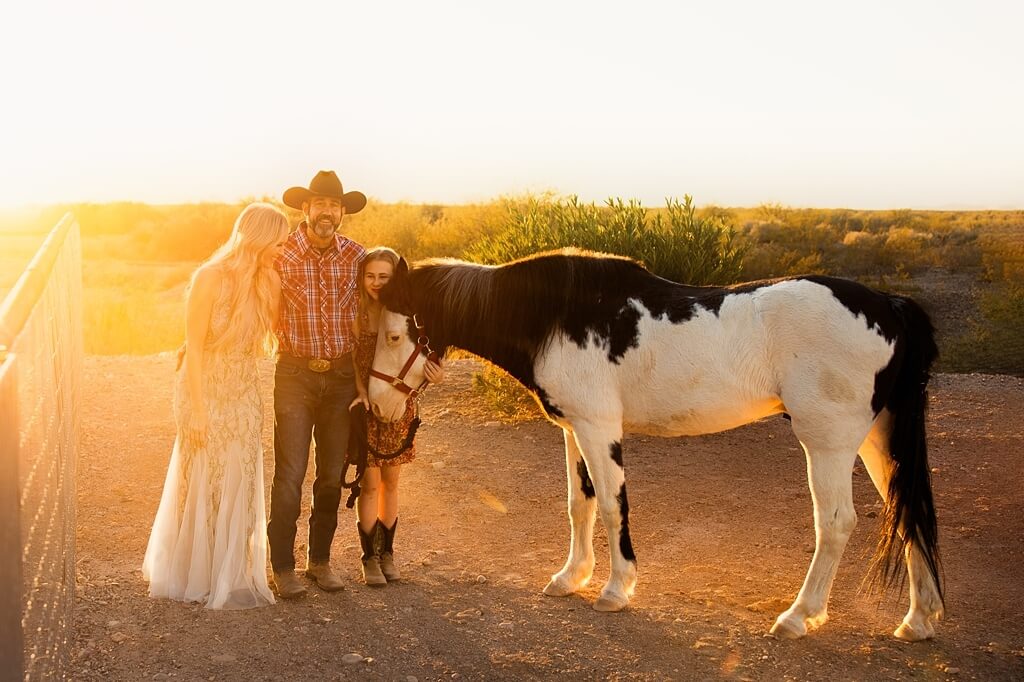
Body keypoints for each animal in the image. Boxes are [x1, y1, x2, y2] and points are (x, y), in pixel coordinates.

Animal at [368, 246, 942, 638]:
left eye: (394, 335)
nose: (375, 405)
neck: (555, 313)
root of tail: (888, 304)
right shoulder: (574, 429)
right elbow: (579, 504)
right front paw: (570, 577)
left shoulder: (600, 428)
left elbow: (613, 506)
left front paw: (615, 589)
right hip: (877, 440)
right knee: (907, 510)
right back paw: (919, 620)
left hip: (827, 442)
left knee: (837, 523)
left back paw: (799, 616)